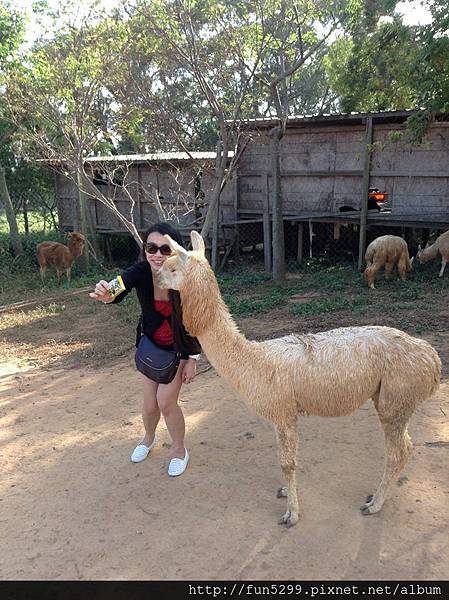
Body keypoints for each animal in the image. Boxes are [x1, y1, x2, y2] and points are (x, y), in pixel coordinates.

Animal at [156, 232, 440, 528]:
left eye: (173, 268)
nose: (157, 279)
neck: (253, 361)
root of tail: (432, 358)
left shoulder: (283, 413)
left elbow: (287, 463)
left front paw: (291, 514)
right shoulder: (281, 414)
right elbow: (287, 460)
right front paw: (286, 493)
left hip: (396, 399)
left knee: (397, 452)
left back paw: (374, 504)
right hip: (394, 400)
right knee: (407, 446)